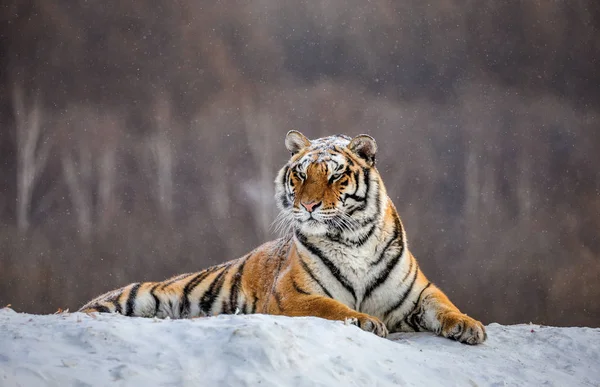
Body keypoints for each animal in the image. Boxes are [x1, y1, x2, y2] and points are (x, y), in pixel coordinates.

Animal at [79, 131, 486, 346]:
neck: (353, 238)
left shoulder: (418, 292)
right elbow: (332, 308)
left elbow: (445, 305)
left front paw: (469, 326)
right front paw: (367, 322)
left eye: (335, 176)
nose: (307, 205)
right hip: (132, 297)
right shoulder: (291, 294)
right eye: (301, 175)